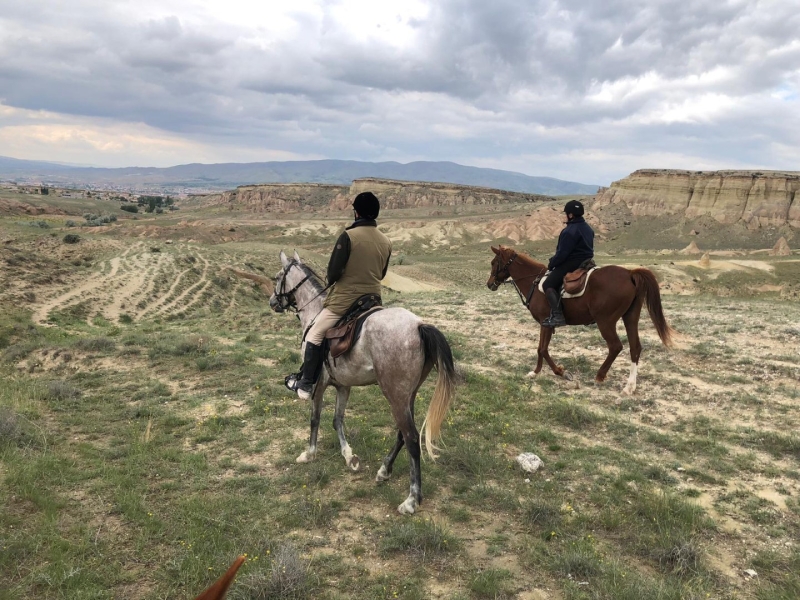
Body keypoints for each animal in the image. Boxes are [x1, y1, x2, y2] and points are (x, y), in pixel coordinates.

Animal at [268, 251, 456, 512]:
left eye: (277, 277)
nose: (272, 302)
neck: (314, 311)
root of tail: (419, 326)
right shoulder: (343, 386)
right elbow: (337, 420)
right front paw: (349, 456)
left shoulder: (319, 385)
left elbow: (315, 419)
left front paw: (309, 453)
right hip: (407, 395)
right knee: (402, 434)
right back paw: (384, 471)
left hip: (395, 396)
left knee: (410, 439)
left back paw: (411, 500)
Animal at [488, 244, 676, 394]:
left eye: (493, 263)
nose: (489, 284)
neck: (533, 281)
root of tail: (630, 273)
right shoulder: (545, 324)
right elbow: (541, 349)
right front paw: (537, 372)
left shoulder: (546, 322)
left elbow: (542, 349)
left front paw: (560, 372)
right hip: (630, 318)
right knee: (635, 347)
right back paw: (629, 387)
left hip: (605, 321)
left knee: (615, 346)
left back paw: (600, 376)